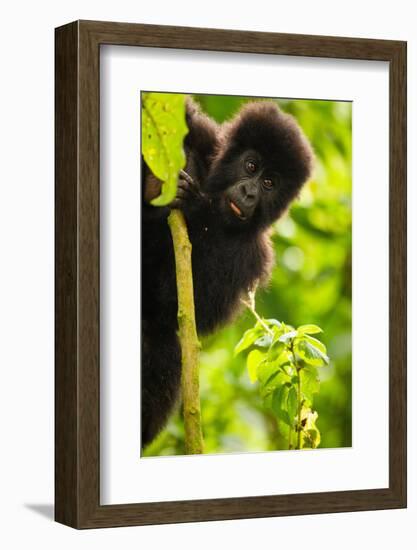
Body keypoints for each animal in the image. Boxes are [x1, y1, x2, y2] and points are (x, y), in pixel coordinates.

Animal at [141, 97, 312, 450]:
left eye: (269, 183)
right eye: (251, 167)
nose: (249, 193)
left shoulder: (252, 256)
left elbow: (181, 307)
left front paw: (192, 204)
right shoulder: (208, 140)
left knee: (163, 341)